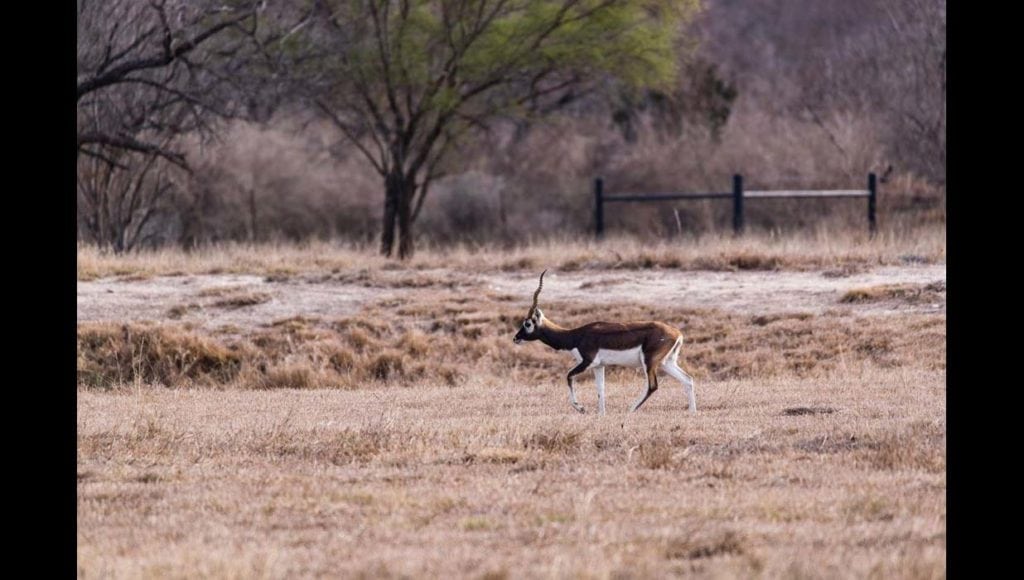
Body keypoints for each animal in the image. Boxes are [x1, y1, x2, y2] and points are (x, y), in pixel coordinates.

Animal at [512, 270, 696, 416]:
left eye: (527, 323)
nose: (516, 338)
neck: (575, 336)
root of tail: (677, 333)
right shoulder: (599, 366)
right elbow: (600, 389)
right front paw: (601, 414)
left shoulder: (587, 362)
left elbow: (569, 376)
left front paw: (581, 408)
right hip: (666, 363)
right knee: (688, 379)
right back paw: (692, 412)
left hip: (649, 362)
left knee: (652, 386)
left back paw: (630, 410)